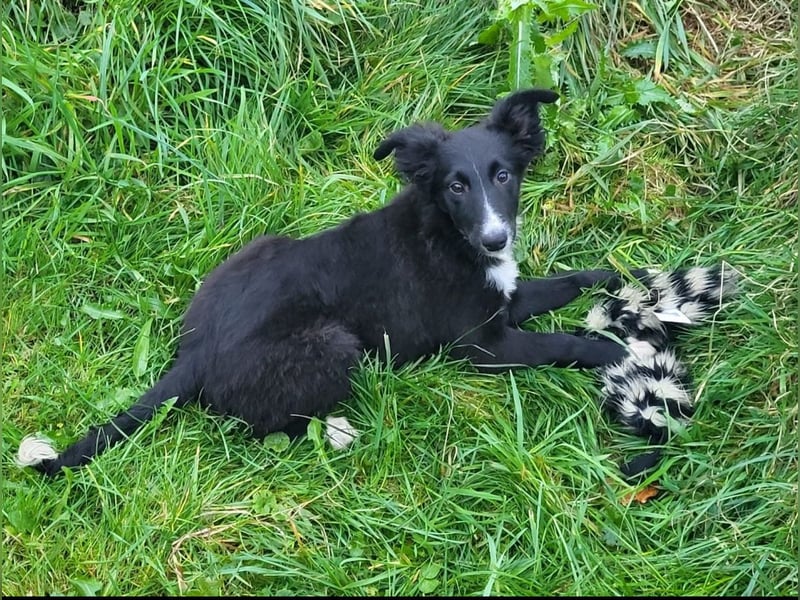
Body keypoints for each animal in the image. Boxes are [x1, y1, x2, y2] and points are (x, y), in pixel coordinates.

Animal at [15, 89, 636, 476]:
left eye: (503, 175)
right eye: (455, 186)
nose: (495, 240)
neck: (446, 232)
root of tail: (195, 352)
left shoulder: (504, 300)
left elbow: (564, 284)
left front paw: (619, 280)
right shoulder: (485, 345)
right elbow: (560, 341)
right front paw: (618, 354)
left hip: (262, 248)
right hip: (334, 344)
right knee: (258, 426)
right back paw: (337, 431)